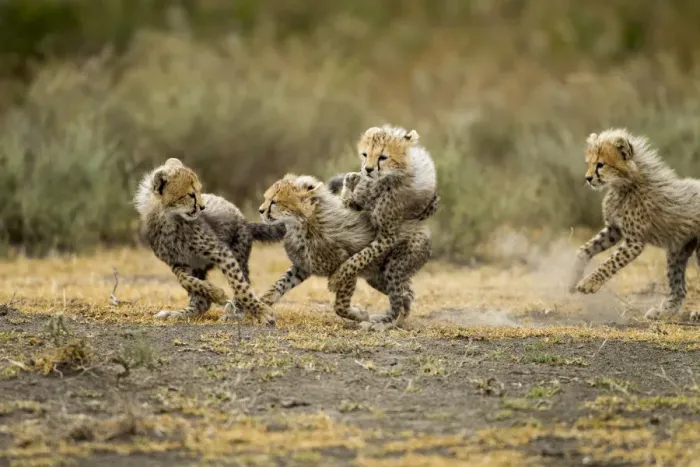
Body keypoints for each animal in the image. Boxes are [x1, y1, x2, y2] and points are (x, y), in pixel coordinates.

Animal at [134, 158, 285, 324]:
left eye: (199, 191)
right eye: (191, 194)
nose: (202, 207)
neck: (168, 219)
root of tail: (244, 220)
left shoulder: (221, 252)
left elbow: (239, 285)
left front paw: (261, 311)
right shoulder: (178, 262)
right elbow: (185, 280)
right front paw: (216, 293)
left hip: (239, 251)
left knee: (244, 280)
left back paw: (236, 312)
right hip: (199, 267)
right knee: (201, 303)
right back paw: (177, 314)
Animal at [258, 173, 434, 329]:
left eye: (274, 202)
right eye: (266, 198)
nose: (260, 210)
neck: (303, 225)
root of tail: (422, 228)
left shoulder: (347, 268)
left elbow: (340, 305)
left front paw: (360, 314)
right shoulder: (302, 267)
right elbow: (280, 284)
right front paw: (262, 306)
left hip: (392, 267)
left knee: (400, 296)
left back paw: (383, 324)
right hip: (378, 277)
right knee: (407, 294)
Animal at [326, 124, 438, 329]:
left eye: (383, 157)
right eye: (365, 154)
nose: (368, 169)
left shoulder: (387, 236)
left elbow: (360, 257)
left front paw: (338, 277)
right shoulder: (354, 204)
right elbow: (346, 201)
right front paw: (351, 179)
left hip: (395, 265)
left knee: (399, 297)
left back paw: (383, 323)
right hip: (378, 276)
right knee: (407, 294)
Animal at [570, 128, 700, 321]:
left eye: (600, 164)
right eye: (590, 163)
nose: (588, 178)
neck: (624, 186)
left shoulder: (634, 242)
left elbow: (610, 262)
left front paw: (589, 282)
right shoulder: (613, 230)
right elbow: (584, 249)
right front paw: (573, 277)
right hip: (677, 251)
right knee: (679, 289)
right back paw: (662, 312)